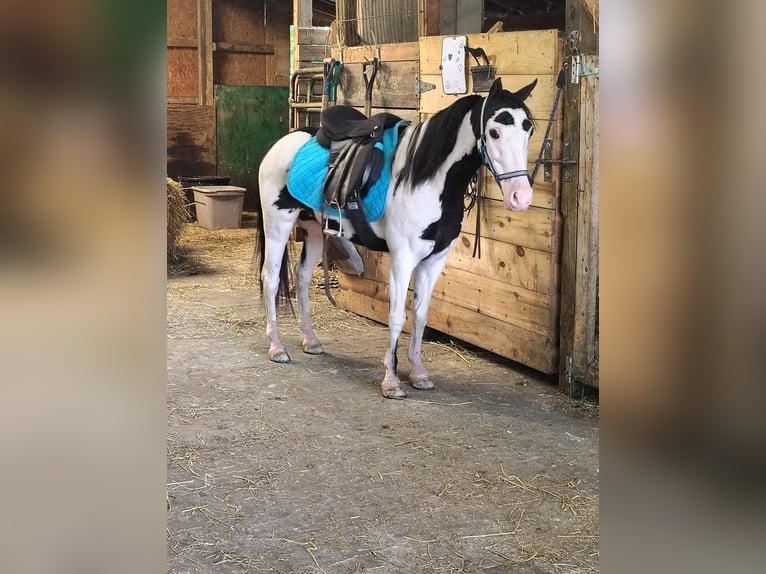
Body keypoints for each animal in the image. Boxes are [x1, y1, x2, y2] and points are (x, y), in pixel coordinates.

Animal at [254, 77, 537, 399]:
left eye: (528, 129)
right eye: (494, 132)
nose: (521, 197)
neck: (429, 180)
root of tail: (282, 143)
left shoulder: (435, 260)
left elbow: (421, 315)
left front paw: (419, 372)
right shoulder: (403, 258)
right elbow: (397, 316)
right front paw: (391, 380)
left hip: (314, 230)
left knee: (301, 277)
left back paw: (311, 341)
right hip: (278, 223)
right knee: (271, 278)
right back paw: (277, 347)